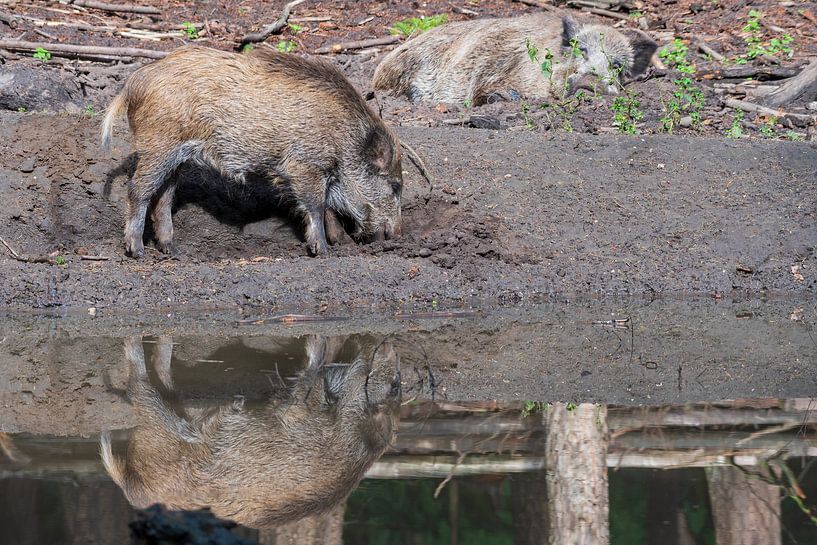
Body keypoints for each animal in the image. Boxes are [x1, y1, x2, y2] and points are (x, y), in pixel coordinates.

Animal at [99, 335, 401, 529]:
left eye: (395, 387)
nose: (387, 343)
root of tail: (132, 488)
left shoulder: (300, 412)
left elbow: (307, 380)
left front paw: (316, 340)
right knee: (165, 380)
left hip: (165, 433)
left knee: (141, 388)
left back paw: (135, 342)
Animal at [101, 45, 407, 258]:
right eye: (394, 186)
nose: (397, 234)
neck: (343, 137)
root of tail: (134, 83)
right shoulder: (304, 165)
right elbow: (317, 205)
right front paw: (323, 251)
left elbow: (328, 206)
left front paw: (340, 243)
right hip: (158, 145)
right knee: (138, 190)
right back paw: (137, 251)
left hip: (176, 158)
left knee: (163, 198)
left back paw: (174, 251)